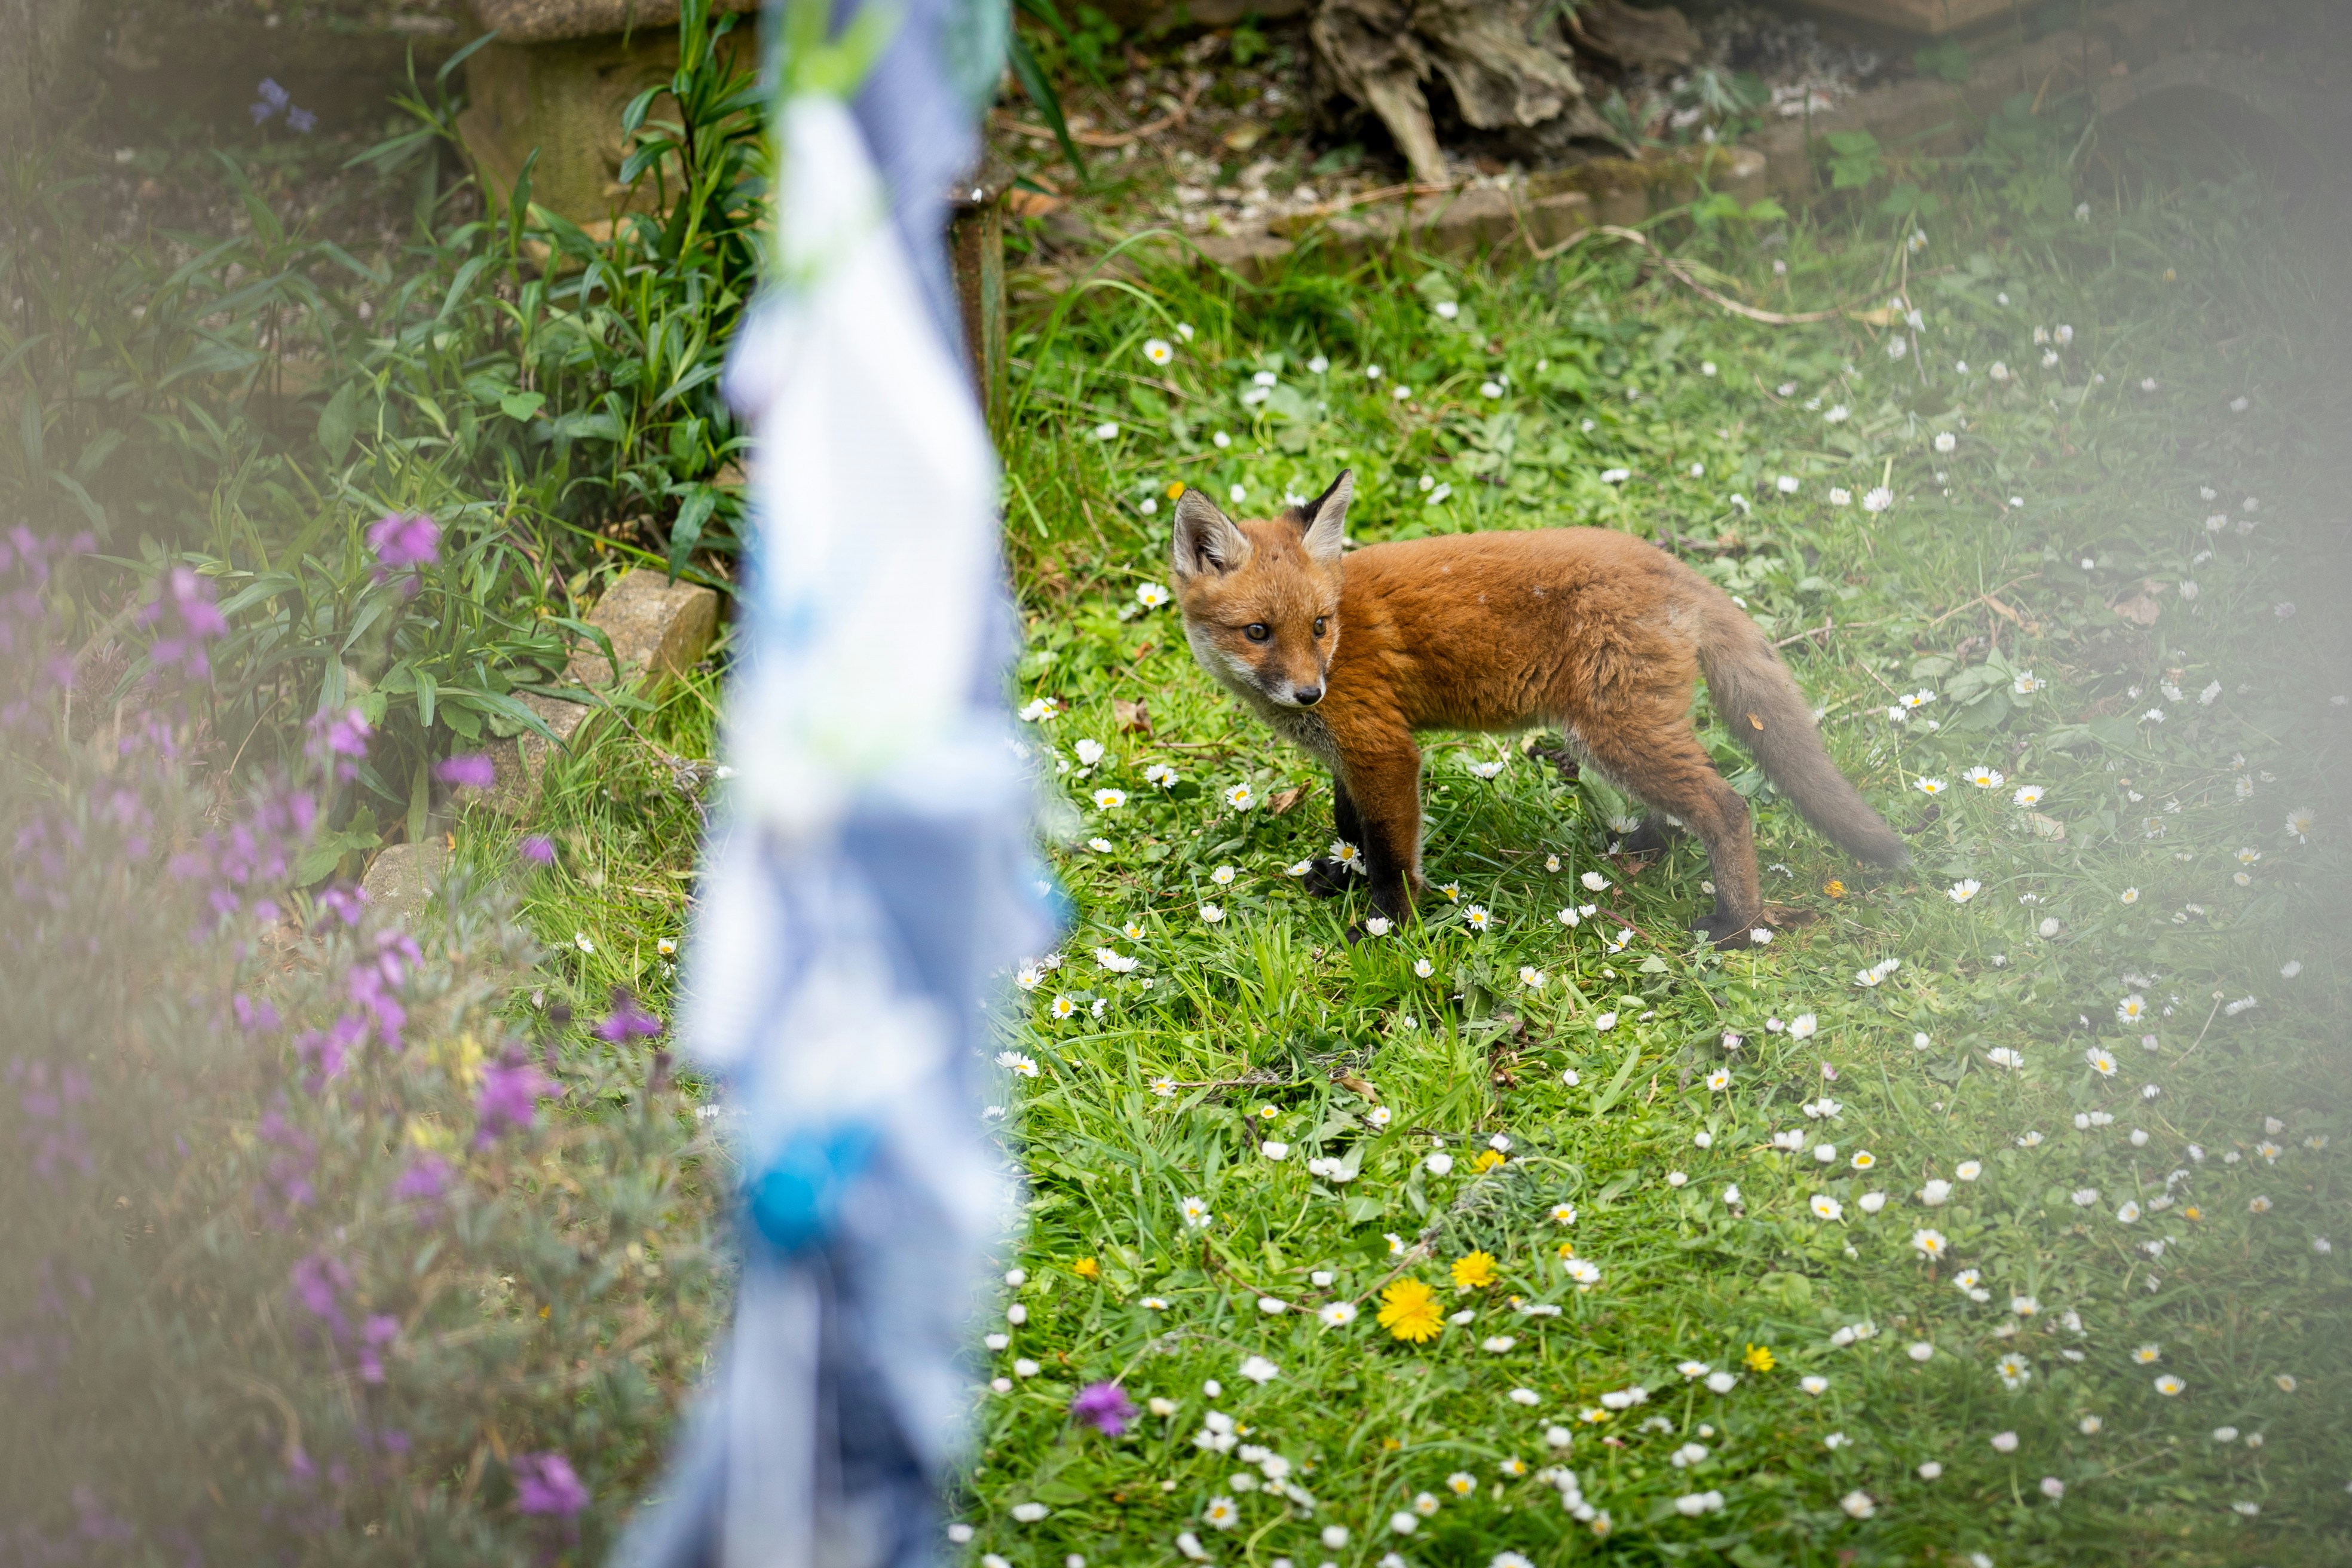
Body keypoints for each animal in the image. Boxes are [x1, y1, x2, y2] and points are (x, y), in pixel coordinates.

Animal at [1168, 469, 1910, 946]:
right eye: (1258, 631)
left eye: (1319, 625)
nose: (1309, 693)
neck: (1343, 642)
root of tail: (1669, 563)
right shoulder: (1349, 753)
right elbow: (1350, 826)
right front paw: (1344, 877)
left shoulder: (1384, 748)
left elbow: (1391, 855)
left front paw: (1388, 928)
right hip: (1618, 732)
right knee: (1687, 805)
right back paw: (1647, 844)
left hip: (1616, 733)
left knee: (1726, 806)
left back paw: (1737, 926)